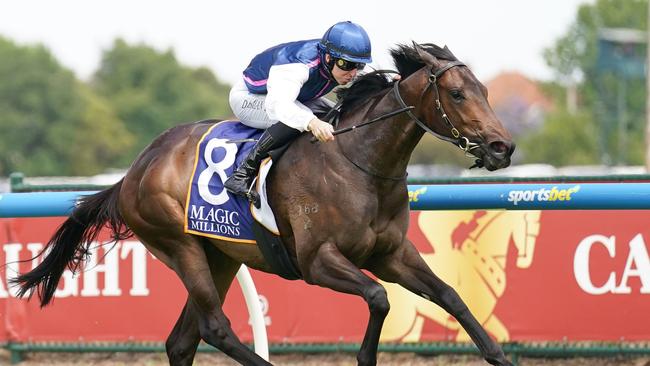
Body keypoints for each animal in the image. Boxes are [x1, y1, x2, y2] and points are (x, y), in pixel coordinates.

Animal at [10, 41, 512, 364]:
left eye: (487, 91)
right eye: (457, 93)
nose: (502, 147)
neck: (360, 163)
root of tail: (134, 172)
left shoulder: (391, 254)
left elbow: (449, 295)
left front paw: (499, 356)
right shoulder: (317, 261)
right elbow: (377, 298)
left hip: (219, 255)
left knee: (182, 341)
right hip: (180, 246)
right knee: (215, 328)